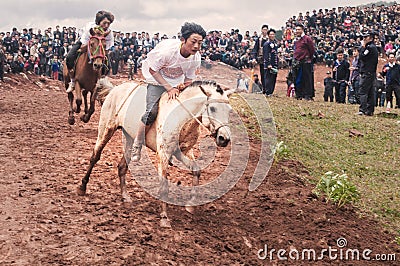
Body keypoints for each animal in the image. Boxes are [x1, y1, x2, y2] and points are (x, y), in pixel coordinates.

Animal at [78, 78, 233, 228]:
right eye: (212, 108)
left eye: (230, 111)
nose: (224, 139)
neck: (181, 117)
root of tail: (115, 89)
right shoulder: (163, 153)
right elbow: (164, 186)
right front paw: (164, 218)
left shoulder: (183, 152)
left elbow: (196, 170)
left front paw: (191, 205)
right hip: (106, 129)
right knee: (95, 156)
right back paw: (82, 187)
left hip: (129, 136)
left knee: (122, 166)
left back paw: (125, 195)